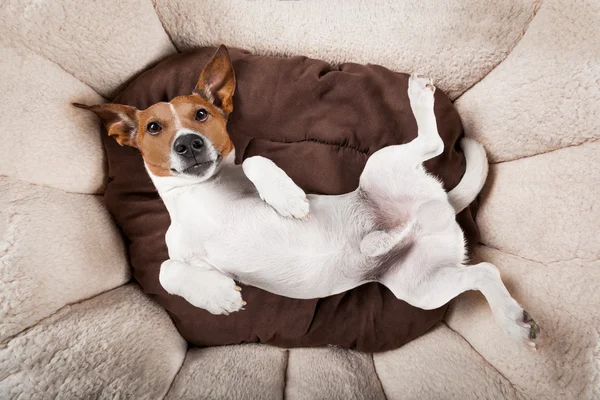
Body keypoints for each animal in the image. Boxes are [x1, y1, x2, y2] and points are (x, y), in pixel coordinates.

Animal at [75, 45, 540, 348]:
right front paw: (219, 297)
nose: (188, 144)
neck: (202, 194)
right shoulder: (181, 254)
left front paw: (289, 200)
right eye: (154, 128)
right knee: (484, 272)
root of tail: (439, 207)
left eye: (201, 115)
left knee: (435, 145)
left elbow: (256, 159)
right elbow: (166, 270)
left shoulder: (246, 169)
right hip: (420, 285)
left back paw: (418, 96)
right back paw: (513, 321)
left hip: (381, 170)